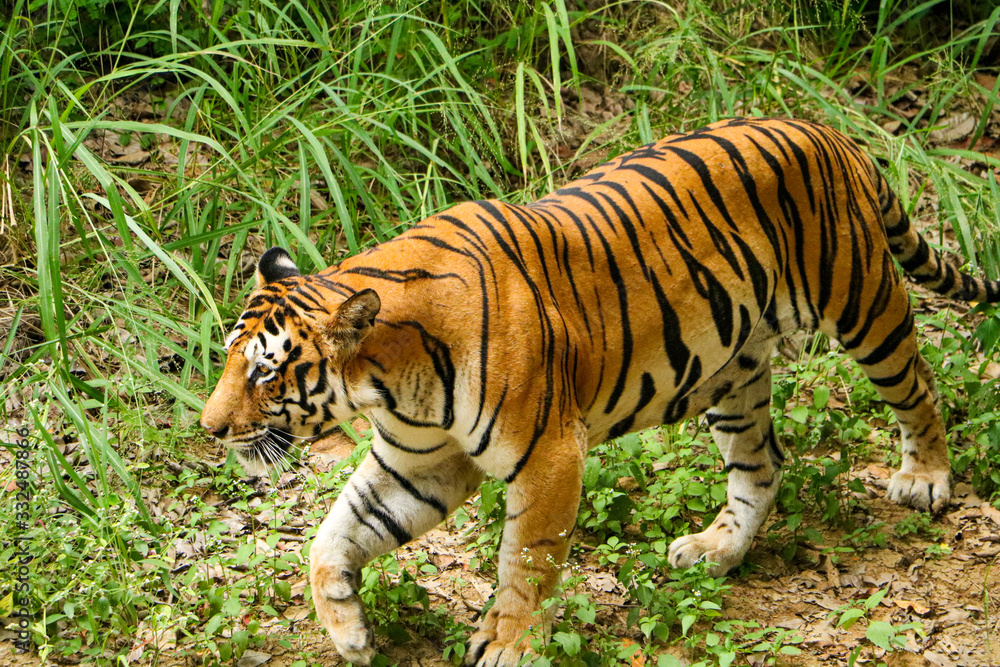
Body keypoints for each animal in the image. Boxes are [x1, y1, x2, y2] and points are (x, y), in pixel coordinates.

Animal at [201, 117, 1000, 666]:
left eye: (264, 371)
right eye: (229, 359)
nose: (209, 429)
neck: (391, 384)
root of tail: (825, 129)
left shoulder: (548, 455)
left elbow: (525, 561)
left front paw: (510, 644)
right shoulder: (419, 463)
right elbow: (333, 535)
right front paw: (348, 629)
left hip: (863, 302)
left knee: (918, 387)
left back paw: (925, 480)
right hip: (734, 368)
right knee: (762, 463)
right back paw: (716, 550)